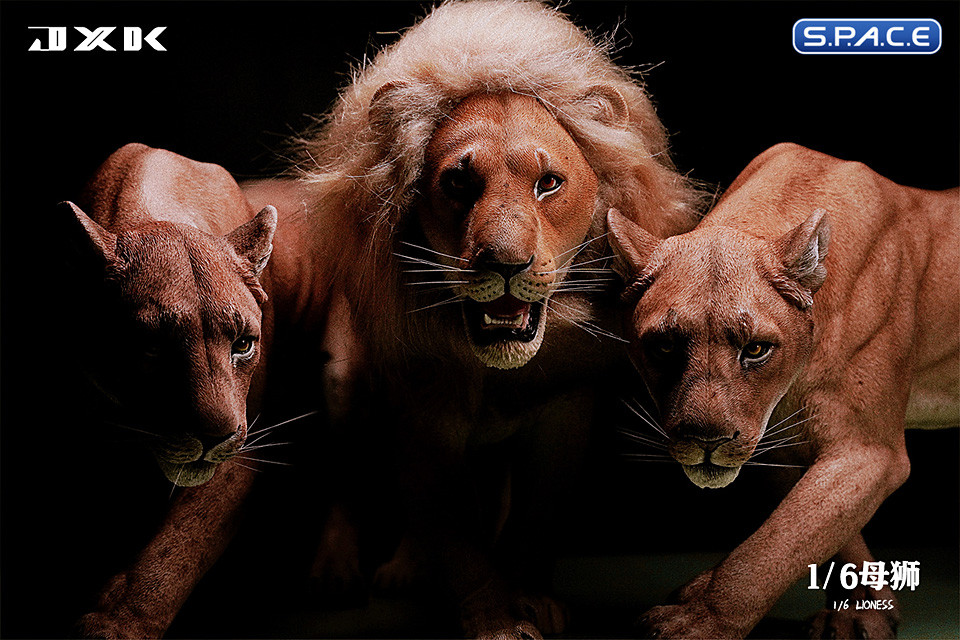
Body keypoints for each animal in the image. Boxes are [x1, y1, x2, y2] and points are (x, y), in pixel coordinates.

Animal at [294, 0, 702, 637]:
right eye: (459, 181)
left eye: (548, 183)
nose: (506, 265)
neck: (494, 372)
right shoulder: (422, 414)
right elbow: (454, 533)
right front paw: (495, 617)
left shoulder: (565, 410)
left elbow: (534, 516)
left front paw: (530, 596)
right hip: (343, 386)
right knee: (345, 479)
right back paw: (338, 573)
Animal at [607, 142, 958, 638]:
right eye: (664, 346)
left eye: (756, 349)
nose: (707, 441)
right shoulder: (786, 448)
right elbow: (816, 533)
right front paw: (864, 609)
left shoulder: (867, 450)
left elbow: (775, 545)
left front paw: (700, 619)